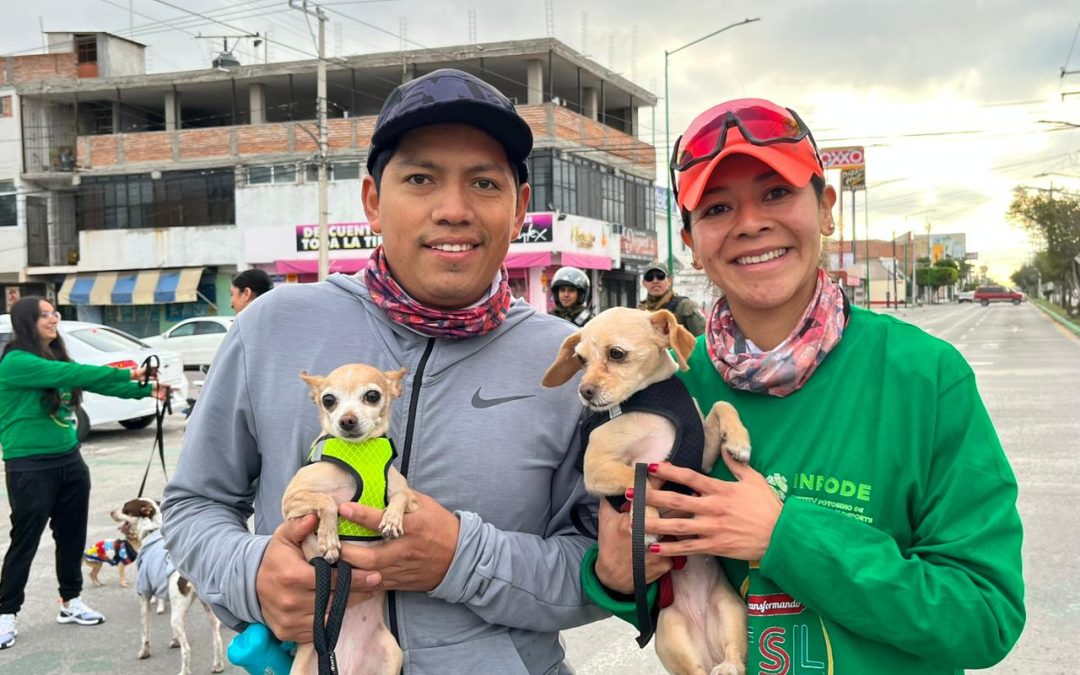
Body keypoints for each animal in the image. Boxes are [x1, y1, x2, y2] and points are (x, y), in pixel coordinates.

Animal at [113, 496, 223, 673]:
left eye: (125, 509)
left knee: (187, 650)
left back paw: (184, 672)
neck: (152, 531)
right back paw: (218, 665)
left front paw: (144, 652)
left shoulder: (144, 595)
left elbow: (145, 632)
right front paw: (174, 640)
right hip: (210, 612)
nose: (111, 512)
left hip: (178, 617)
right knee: (217, 639)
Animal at [282, 362, 416, 673]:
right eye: (328, 400)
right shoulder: (292, 500)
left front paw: (391, 520)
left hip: (392, 655)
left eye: (372, 396)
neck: (359, 454)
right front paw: (328, 541)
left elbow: (400, 497)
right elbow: (329, 500)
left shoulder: (412, 500)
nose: (347, 420)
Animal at [544, 306, 747, 673]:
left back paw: (726, 665)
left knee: (734, 658)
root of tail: (706, 645)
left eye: (616, 354)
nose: (585, 391)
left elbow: (722, 406)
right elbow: (638, 481)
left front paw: (740, 441)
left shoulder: (699, 457)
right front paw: (647, 522)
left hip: (731, 612)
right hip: (673, 634)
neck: (645, 400)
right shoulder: (597, 469)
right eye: (580, 360)